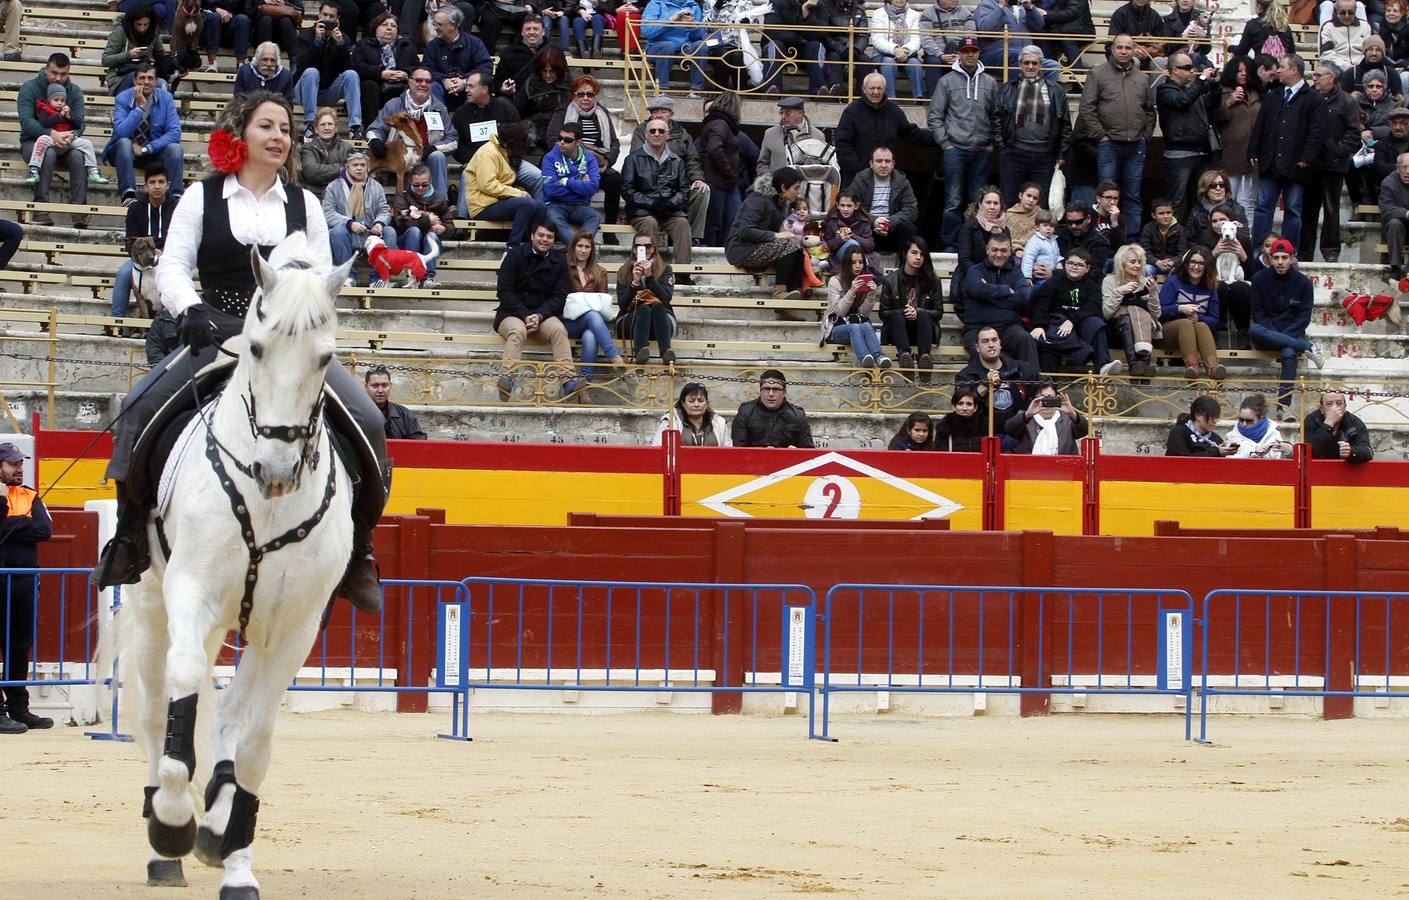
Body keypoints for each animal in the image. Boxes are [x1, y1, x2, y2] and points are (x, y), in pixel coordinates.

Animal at [102, 233, 355, 900]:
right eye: (259, 347)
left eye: (326, 357)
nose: (275, 469)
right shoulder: (193, 593)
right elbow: (183, 689)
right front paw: (172, 822)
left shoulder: (294, 627)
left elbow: (254, 743)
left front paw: (232, 849)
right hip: (152, 603)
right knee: (154, 707)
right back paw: (163, 848)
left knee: (231, 712)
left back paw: (220, 835)